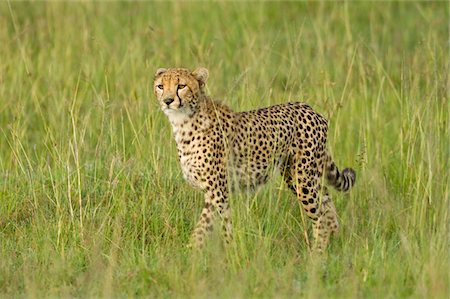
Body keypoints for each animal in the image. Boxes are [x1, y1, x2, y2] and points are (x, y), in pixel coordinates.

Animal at [153, 68, 356, 253]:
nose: (168, 101)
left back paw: (317, 255)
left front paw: (226, 253)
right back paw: (334, 242)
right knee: (327, 204)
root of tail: (309, 108)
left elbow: (214, 226)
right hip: (298, 175)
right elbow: (205, 228)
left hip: (303, 179)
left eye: (181, 86)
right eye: (161, 86)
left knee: (321, 216)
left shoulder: (218, 192)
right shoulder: (212, 193)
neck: (183, 122)